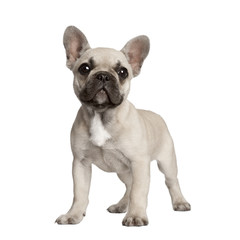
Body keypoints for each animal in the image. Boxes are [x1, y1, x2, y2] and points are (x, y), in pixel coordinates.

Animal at [55, 26, 190, 227]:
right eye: (84, 68)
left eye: (122, 72)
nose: (103, 75)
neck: (102, 115)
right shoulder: (80, 163)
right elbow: (80, 193)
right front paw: (74, 214)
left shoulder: (139, 163)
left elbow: (138, 192)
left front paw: (135, 215)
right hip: (123, 170)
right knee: (129, 185)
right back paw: (120, 205)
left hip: (167, 161)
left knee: (171, 181)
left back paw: (180, 202)